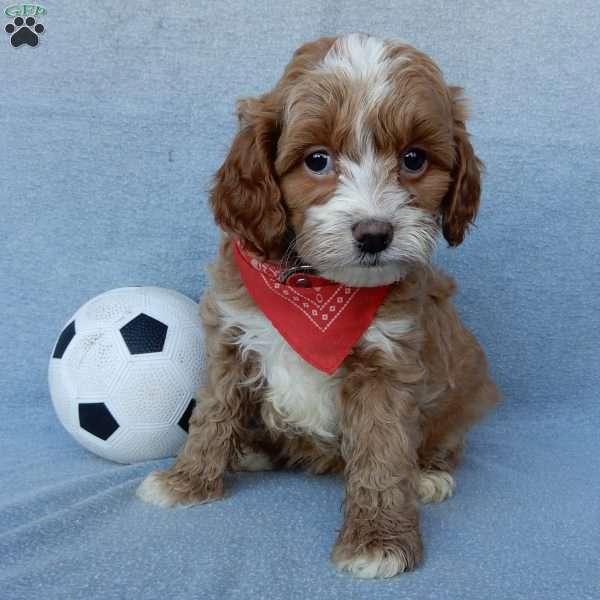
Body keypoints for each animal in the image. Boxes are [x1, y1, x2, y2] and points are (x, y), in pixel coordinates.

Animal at [138, 31, 500, 576]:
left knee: (444, 438)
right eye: (317, 160)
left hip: (464, 384)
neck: (313, 285)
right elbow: (214, 413)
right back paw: (254, 448)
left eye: (414, 159)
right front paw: (188, 481)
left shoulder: (387, 362)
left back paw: (428, 474)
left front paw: (378, 540)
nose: (374, 234)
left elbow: (381, 452)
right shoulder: (230, 335)